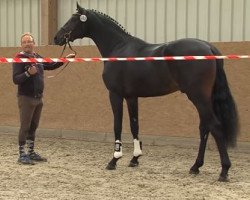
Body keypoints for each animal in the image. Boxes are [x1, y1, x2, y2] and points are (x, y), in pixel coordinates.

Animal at [54, 2, 238, 181]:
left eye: (73, 20)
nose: (56, 37)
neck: (118, 48)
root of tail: (209, 47)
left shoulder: (115, 95)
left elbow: (117, 125)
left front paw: (114, 159)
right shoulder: (131, 97)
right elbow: (134, 125)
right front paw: (135, 158)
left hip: (198, 97)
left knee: (215, 126)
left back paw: (224, 171)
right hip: (204, 98)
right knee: (204, 127)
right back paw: (195, 167)